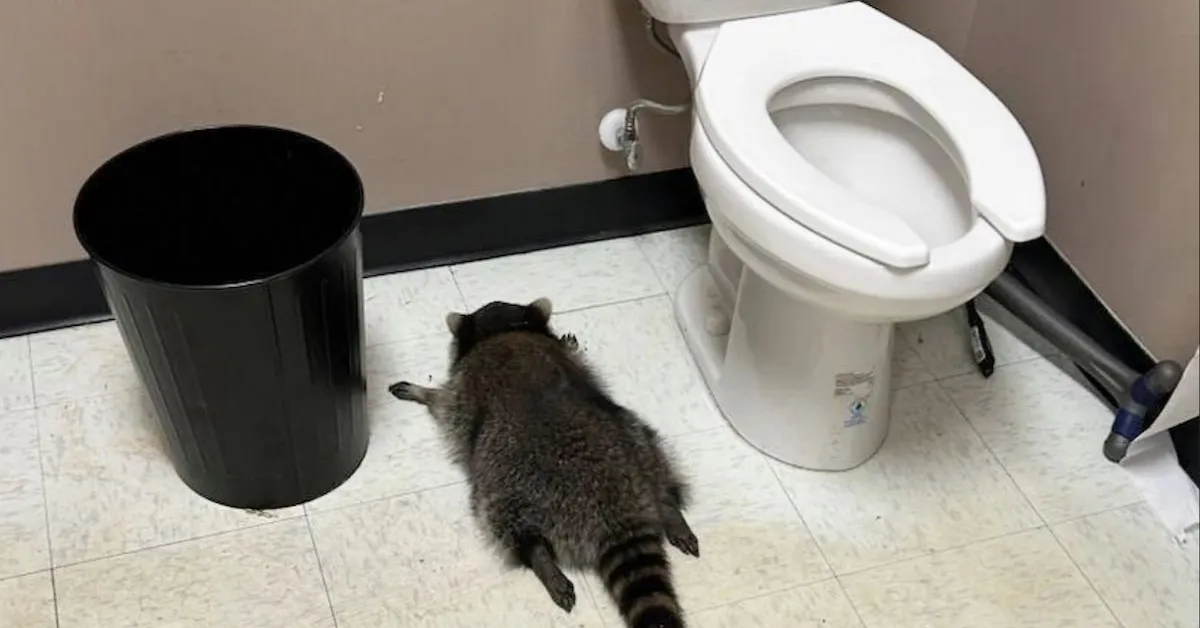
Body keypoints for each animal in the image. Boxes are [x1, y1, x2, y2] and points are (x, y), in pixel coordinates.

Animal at [388, 298, 699, 628]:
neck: (503, 330)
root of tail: (615, 509)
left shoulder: (463, 389)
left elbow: (445, 404)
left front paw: (424, 392)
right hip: (636, 440)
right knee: (656, 460)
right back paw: (669, 507)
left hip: (509, 485)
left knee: (504, 522)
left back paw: (541, 559)